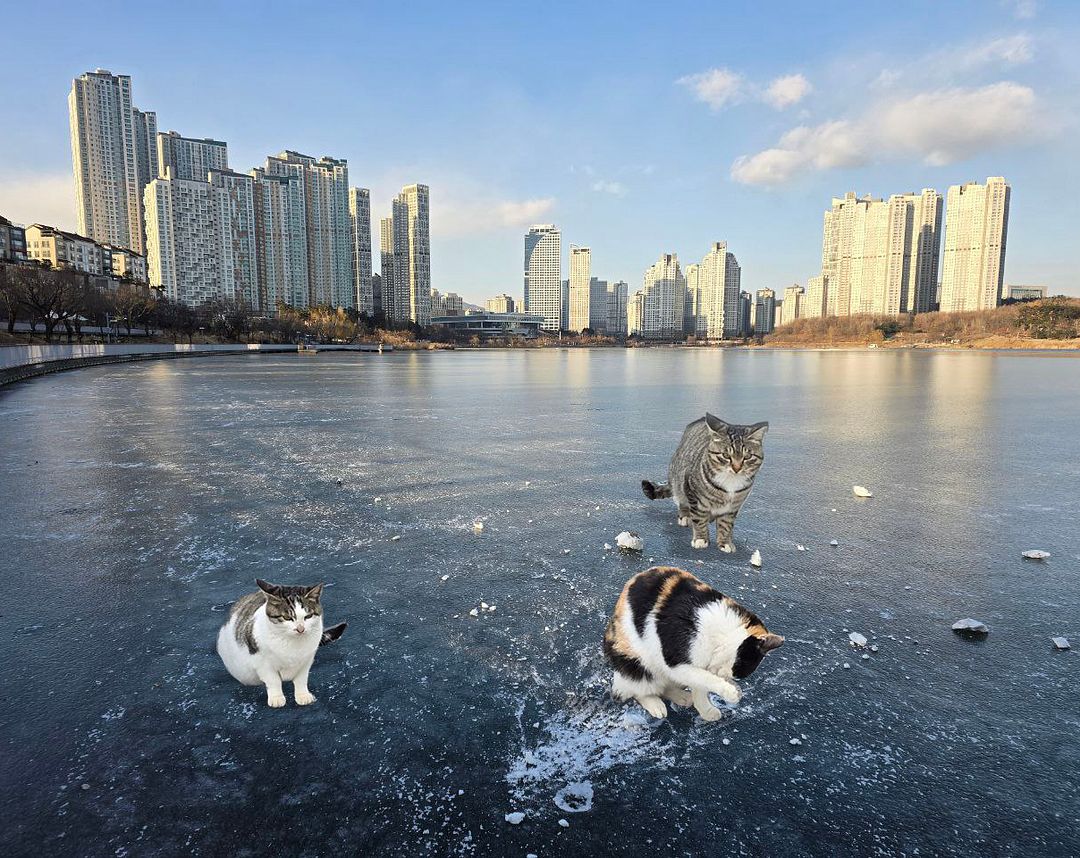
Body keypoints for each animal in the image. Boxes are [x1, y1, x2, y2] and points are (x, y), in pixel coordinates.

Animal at [212, 574, 343, 708]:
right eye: (287, 617)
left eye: (308, 616)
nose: (300, 629)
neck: (292, 645)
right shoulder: (261, 662)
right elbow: (273, 680)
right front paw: (277, 698)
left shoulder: (307, 660)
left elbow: (301, 679)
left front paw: (303, 695)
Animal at [600, 566, 786, 717]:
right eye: (741, 668)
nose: (728, 677)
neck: (721, 632)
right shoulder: (675, 661)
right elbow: (704, 677)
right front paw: (730, 691)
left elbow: (700, 684)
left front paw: (707, 710)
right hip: (635, 663)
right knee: (635, 689)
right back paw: (655, 705)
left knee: (665, 686)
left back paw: (682, 697)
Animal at [639, 412, 768, 548]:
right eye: (726, 455)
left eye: (747, 456)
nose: (737, 468)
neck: (730, 483)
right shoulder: (693, 493)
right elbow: (699, 518)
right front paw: (701, 539)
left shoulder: (734, 506)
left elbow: (726, 524)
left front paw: (725, 543)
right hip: (679, 479)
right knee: (681, 500)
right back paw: (685, 516)